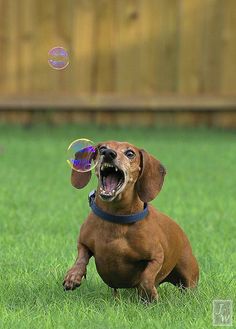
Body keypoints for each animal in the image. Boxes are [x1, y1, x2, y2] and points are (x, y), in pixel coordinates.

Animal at [63, 140, 199, 302]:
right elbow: (81, 258)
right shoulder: (83, 244)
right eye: (102, 148)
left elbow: (146, 278)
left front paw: (150, 295)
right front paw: (73, 276)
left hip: (188, 276)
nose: (108, 153)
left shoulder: (156, 257)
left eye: (130, 153)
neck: (116, 218)